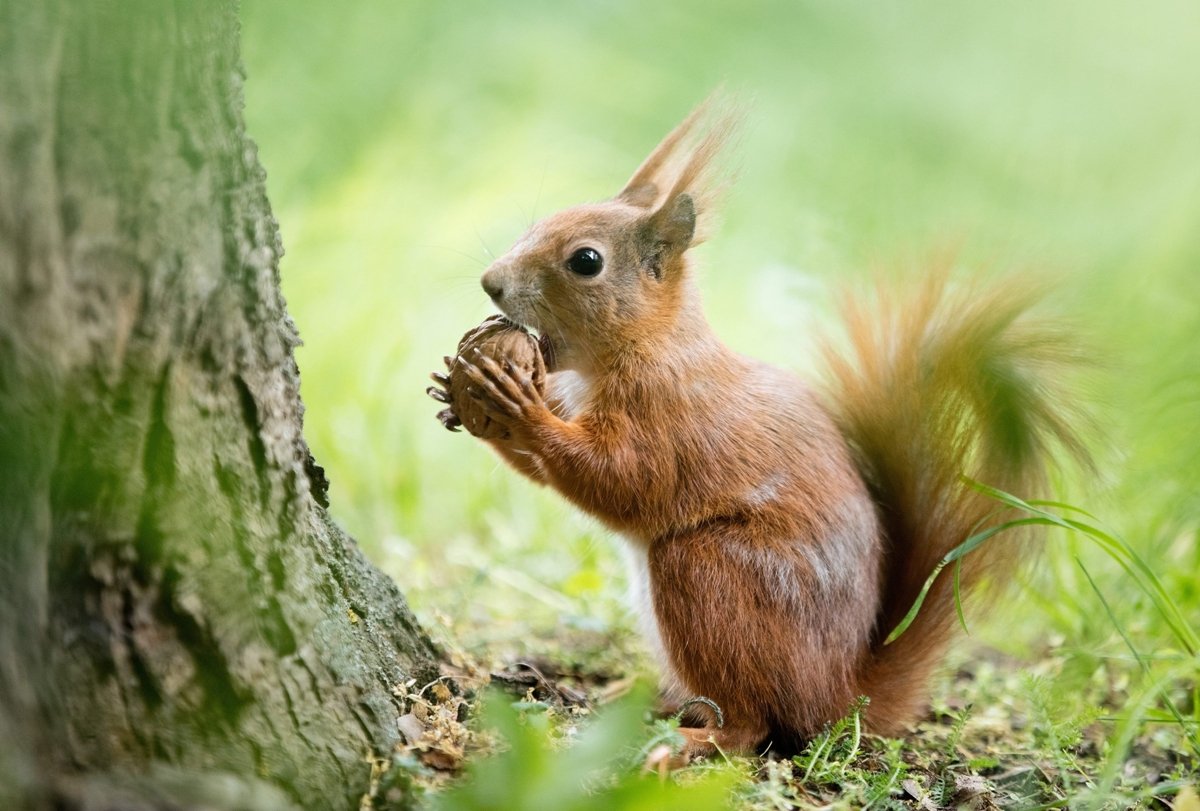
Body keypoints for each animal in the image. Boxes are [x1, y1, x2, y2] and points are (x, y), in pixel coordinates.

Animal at [427, 96, 1084, 758]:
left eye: (586, 261)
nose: (491, 282)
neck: (642, 348)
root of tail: (838, 696)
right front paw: (457, 399)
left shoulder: (671, 417)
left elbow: (622, 480)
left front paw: (518, 410)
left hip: (712, 574)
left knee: (752, 725)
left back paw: (691, 740)